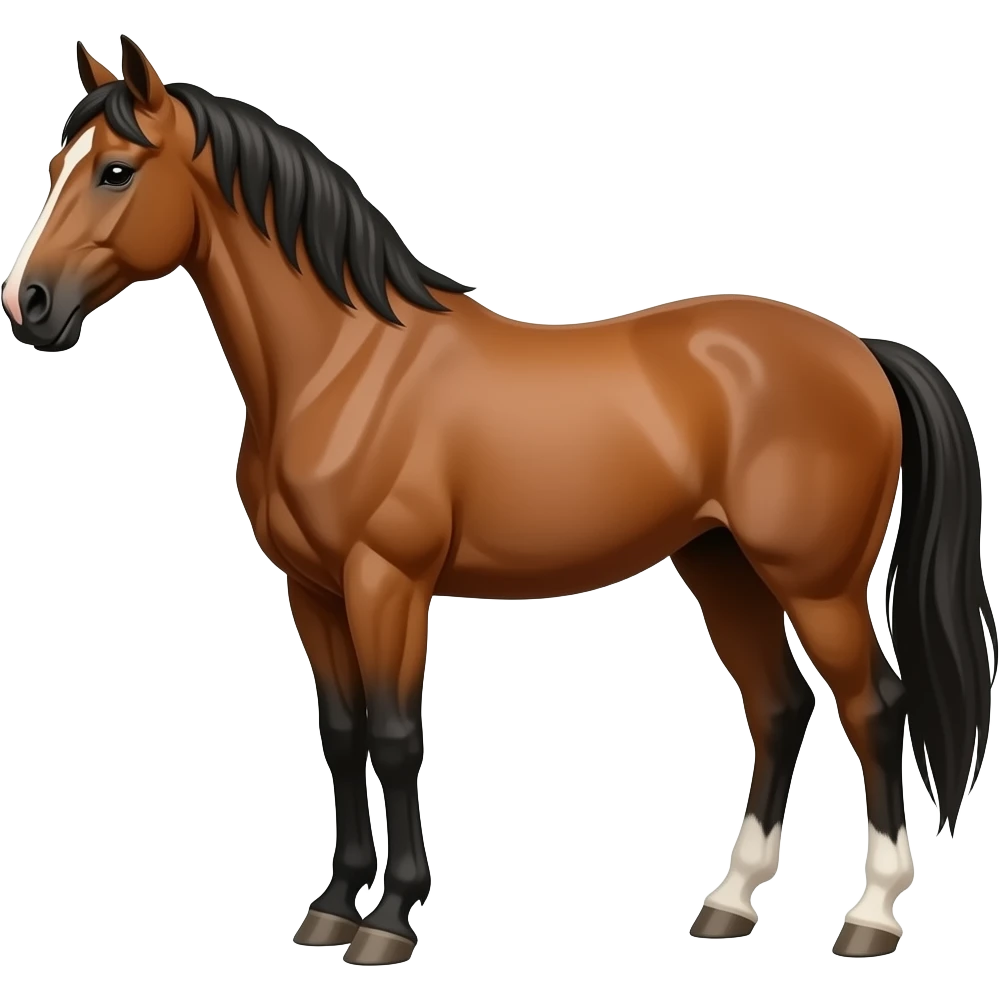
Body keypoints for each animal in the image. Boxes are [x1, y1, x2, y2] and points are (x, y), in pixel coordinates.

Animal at [4, 36, 996, 965]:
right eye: (55, 169)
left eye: (116, 170)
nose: (29, 304)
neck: (343, 366)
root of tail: (860, 350)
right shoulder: (312, 589)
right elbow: (341, 733)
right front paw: (333, 906)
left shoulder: (386, 582)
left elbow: (395, 733)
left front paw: (390, 920)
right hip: (721, 564)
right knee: (779, 705)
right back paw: (728, 902)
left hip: (815, 581)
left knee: (876, 708)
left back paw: (869, 916)